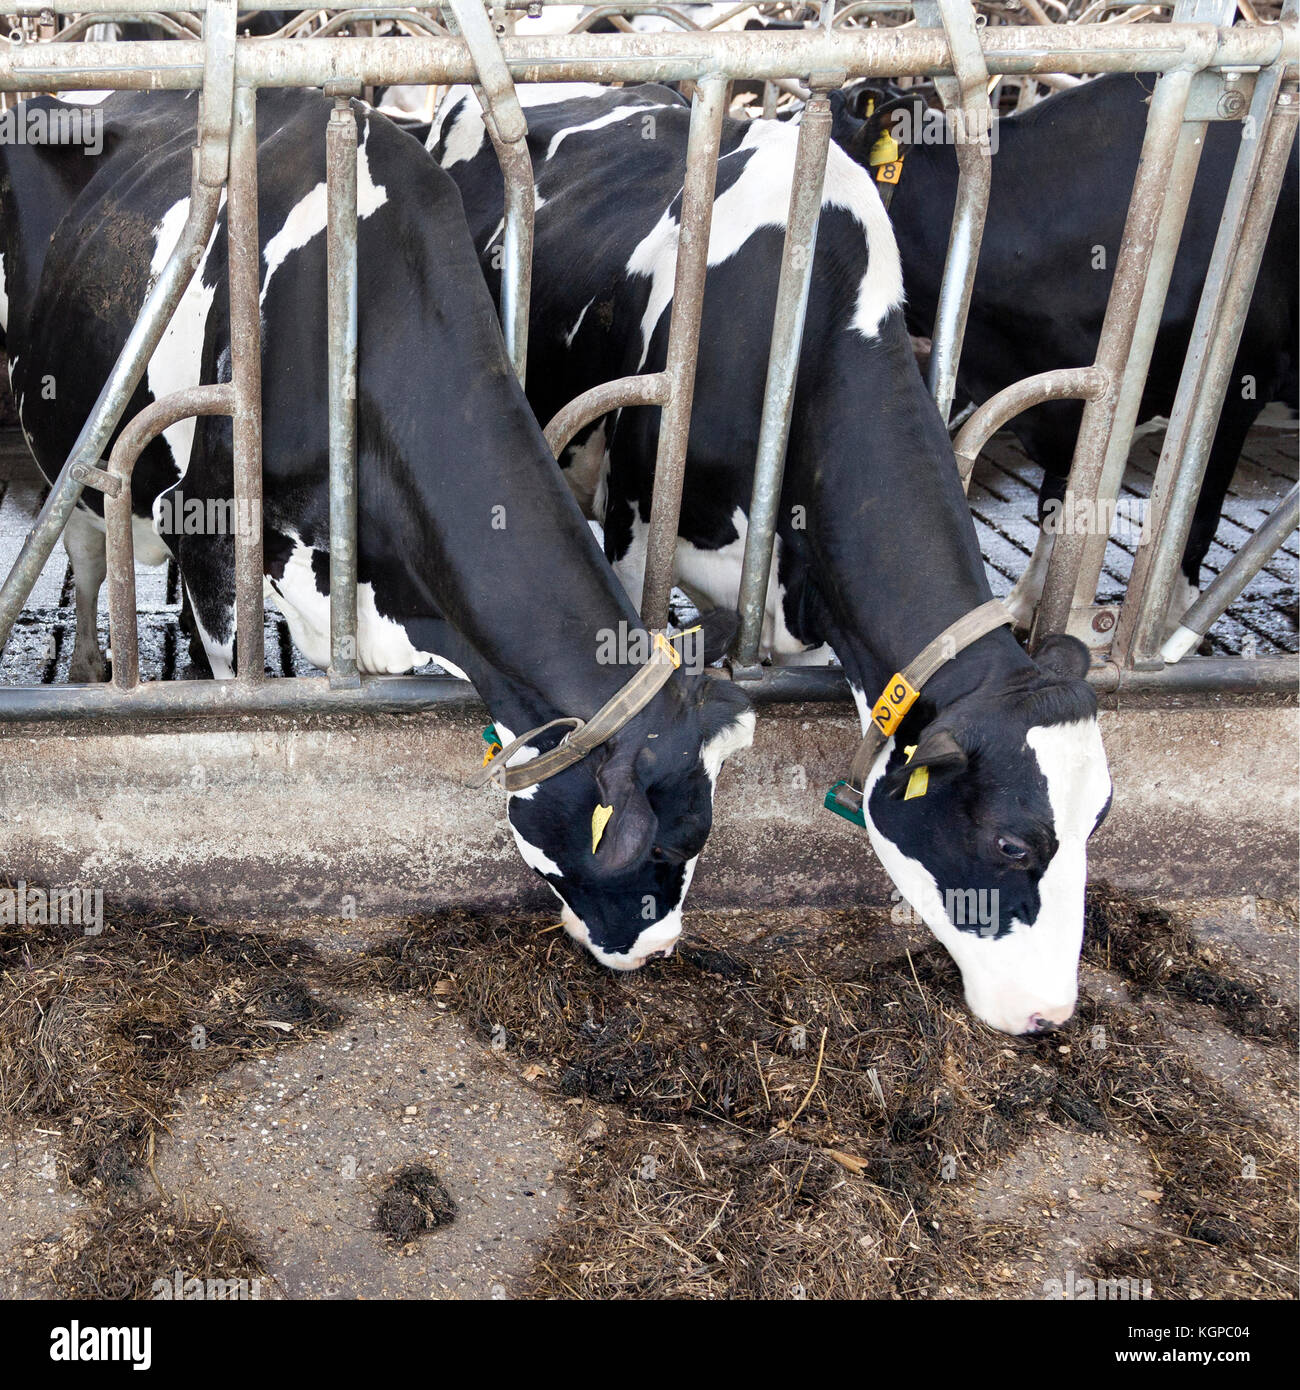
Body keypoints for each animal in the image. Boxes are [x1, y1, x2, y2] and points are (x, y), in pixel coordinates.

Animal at [0, 89, 754, 969]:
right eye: (663, 844)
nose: (656, 950)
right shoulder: (206, 523)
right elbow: (231, 683)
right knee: (88, 553)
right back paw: (90, 664)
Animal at [830, 73, 1300, 633]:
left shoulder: (1231, 393)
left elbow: (1193, 520)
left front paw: (1167, 627)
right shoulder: (1067, 397)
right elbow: (1057, 506)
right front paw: (1025, 605)